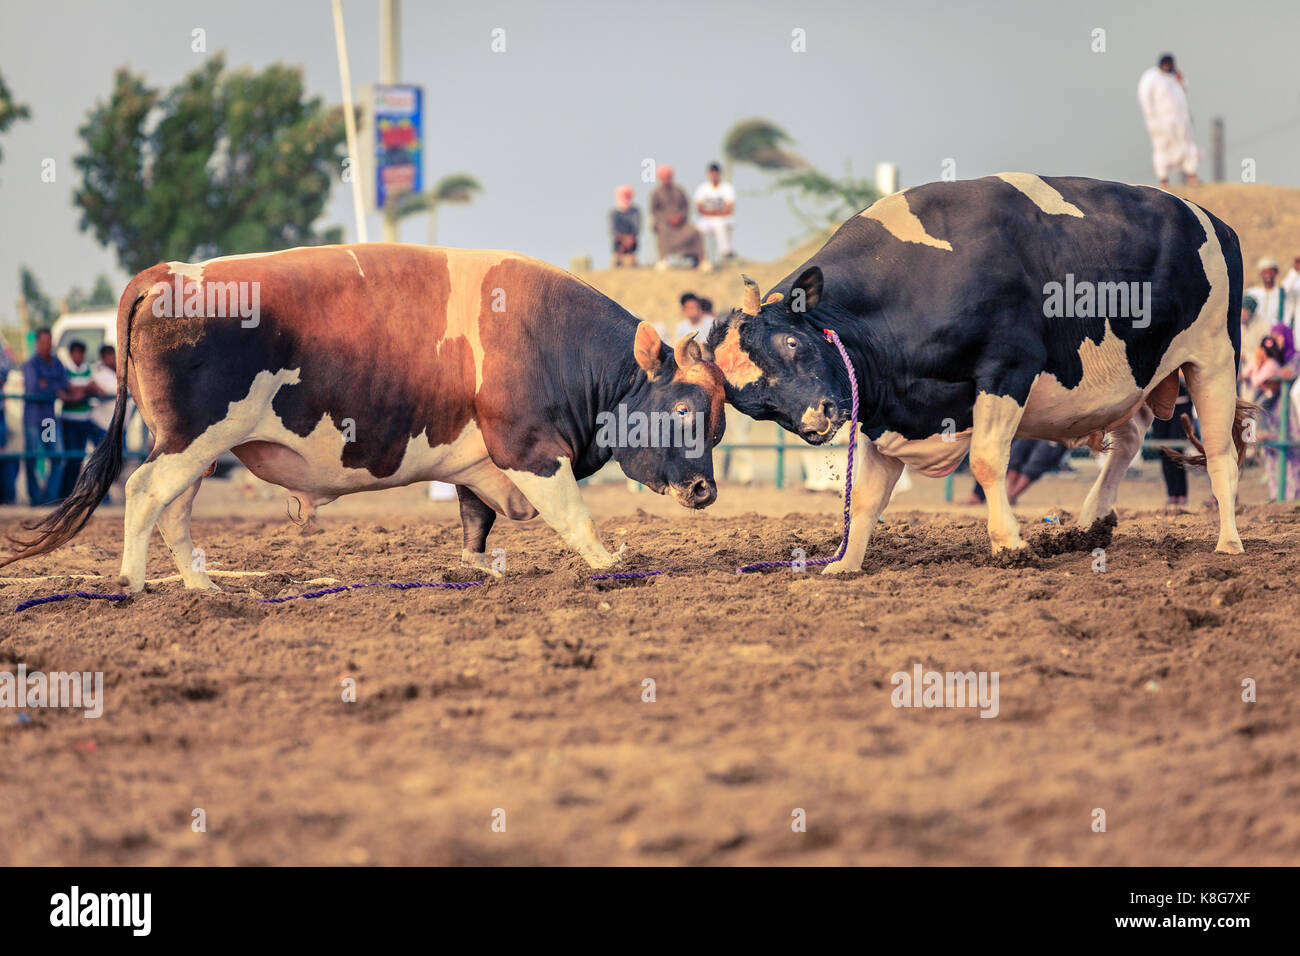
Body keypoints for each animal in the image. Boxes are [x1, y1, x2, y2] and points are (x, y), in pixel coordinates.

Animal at [5, 244, 728, 590]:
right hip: (189, 440)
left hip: (194, 448)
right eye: (684, 411)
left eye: (719, 423)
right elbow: (574, 517)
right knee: (143, 492)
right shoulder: (527, 448)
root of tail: (169, 274)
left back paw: (203, 588)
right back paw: (133, 583)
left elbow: (475, 522)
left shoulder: (478, 461)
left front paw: (475, 570)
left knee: (173, 509)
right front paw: (609, 562)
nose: (705, 490)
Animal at [707, 172, 1253, 572]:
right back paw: (1091, 521)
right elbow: (865, 496)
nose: (817, 419)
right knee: (1131, 440)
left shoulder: (1008, 367)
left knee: (1221, 453)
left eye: (792, 342)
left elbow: (988, 461)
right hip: (1139, 378)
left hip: (1213, 360)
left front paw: (1010, 545)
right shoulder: (882, 410)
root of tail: (1214, 221)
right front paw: (843, 567)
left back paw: (1228, 543)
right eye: (755, 404)